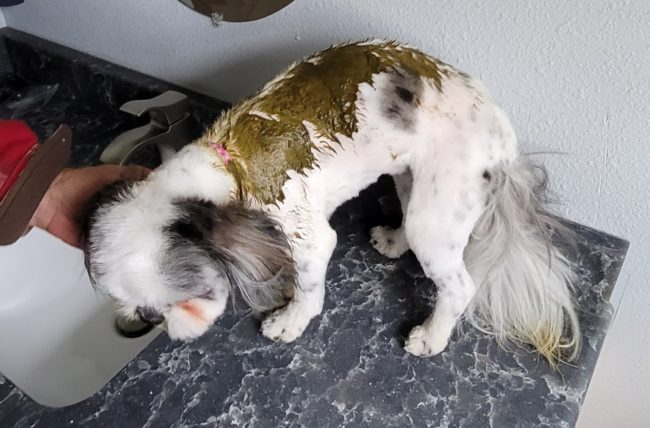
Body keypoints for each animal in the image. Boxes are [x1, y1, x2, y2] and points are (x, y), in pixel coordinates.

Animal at [84, 40, 580, 365]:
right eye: (129, 303)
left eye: (187, 295)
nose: (147, 318)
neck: (227, 170)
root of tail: (505, 146)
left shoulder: (303, 232)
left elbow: (309, 286)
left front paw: (290, 320)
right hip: (411, 179)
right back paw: (393, 239)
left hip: (439, 210)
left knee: (459, 286)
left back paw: (431, 337)